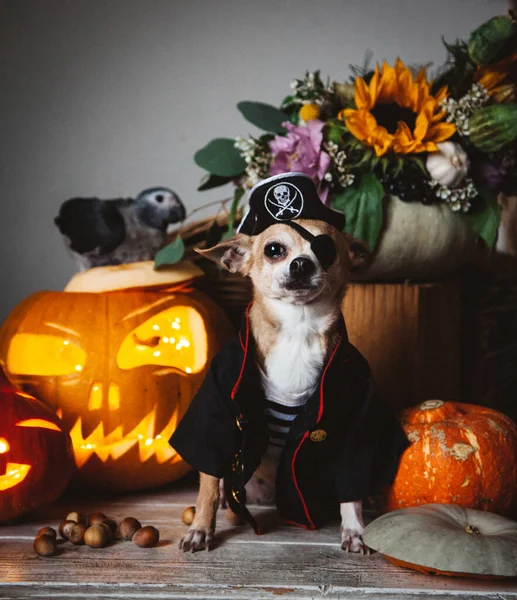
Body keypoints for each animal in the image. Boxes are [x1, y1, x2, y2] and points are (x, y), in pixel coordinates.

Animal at [168, 172, 408, 552]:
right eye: (274, 250)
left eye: (327, 249)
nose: (301, 263)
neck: (299, 328)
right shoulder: (219, 408)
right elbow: (207, 481)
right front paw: (202, 528)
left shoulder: (356, 417)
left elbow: (351, 484)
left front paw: (355, 528)